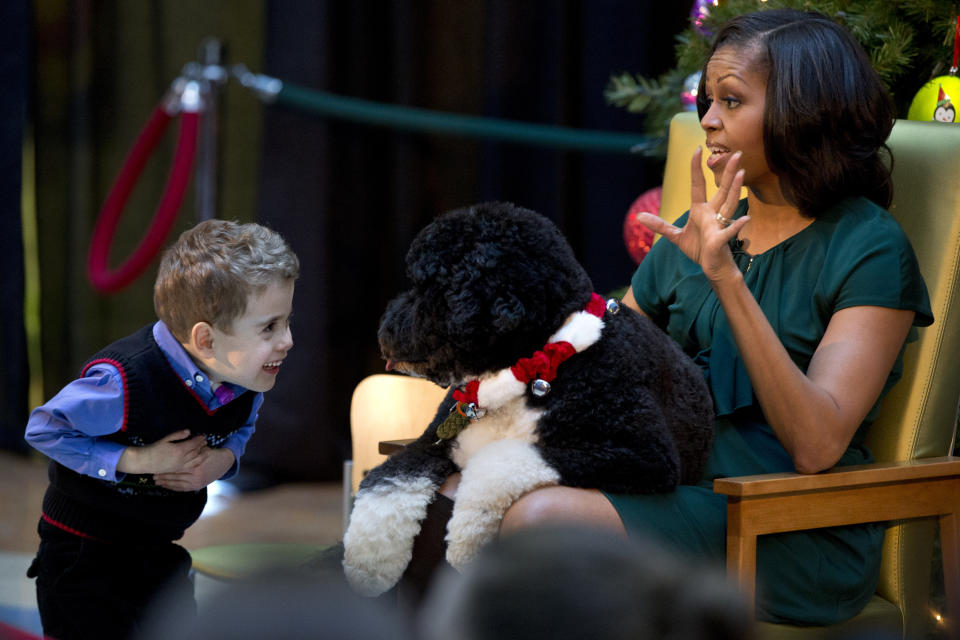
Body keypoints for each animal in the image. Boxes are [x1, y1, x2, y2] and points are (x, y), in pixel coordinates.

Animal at [342, 204, 708, 596]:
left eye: (424, 286)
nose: (384, 332)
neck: (533, 366)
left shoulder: (643, 456)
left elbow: (500, 459)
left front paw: (467, 537)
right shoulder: (434, 439)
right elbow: (390, 478)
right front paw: (368, 560)